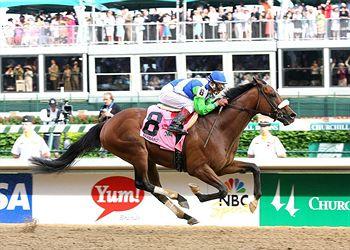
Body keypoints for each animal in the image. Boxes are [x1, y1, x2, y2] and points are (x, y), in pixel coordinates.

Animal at [31, 77, 296, 225]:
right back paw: (180, 198)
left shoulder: (224, 165)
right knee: (144, 184)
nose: (292, 115)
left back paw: (185, 213)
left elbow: (255, 167)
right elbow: (220, 190)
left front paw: (253, 203)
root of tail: (107, 122)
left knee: (151, 187)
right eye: (271, 93)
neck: (219, 126)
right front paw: (195, 192)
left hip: (149, 158)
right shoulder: (198, 168)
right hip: (137, 152)